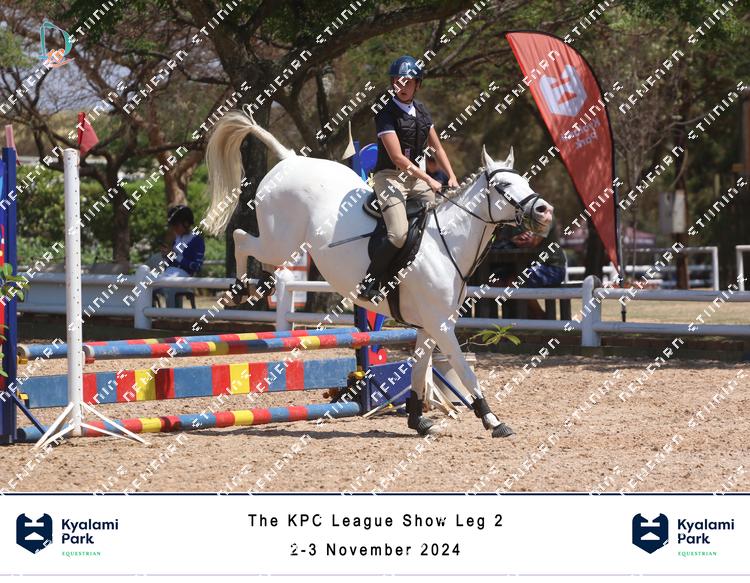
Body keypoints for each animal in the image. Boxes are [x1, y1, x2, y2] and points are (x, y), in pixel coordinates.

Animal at [202, 111, 554, 438]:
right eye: (502, 186)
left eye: (526, 181)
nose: (544, 211)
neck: (446, 242)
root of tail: (290, 159)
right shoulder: (441, 324)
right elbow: (465, 371)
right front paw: (492, 420)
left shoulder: (429, 326)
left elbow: (419, 373)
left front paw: (418, 420)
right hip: (279, 241)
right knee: (241, 238)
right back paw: (240, 288)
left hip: (282, 244)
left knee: (258, 255)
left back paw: (261, 284)